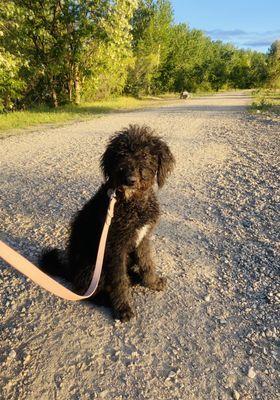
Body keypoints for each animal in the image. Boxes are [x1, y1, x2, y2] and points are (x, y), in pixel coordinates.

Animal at [40, 123, 174, 320]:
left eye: (145, 155)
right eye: (121, 155)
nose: (130, 180)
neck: (132, 204)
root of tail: (70, 270)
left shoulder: (142, 239)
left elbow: (147, 262)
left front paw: (153, 282)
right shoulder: (115, 247)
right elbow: (118, 279)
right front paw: (123, 308)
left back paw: (134, 277)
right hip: (91, 264)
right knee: (85, 289)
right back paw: (105, 298)